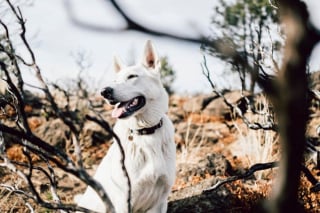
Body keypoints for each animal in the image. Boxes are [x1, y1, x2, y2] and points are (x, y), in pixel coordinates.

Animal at [78, 40, 178, 212]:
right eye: (115, 80)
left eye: (132, 76)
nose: (104, 91)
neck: (146, 131)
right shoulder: (124, 200)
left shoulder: (160, 200)